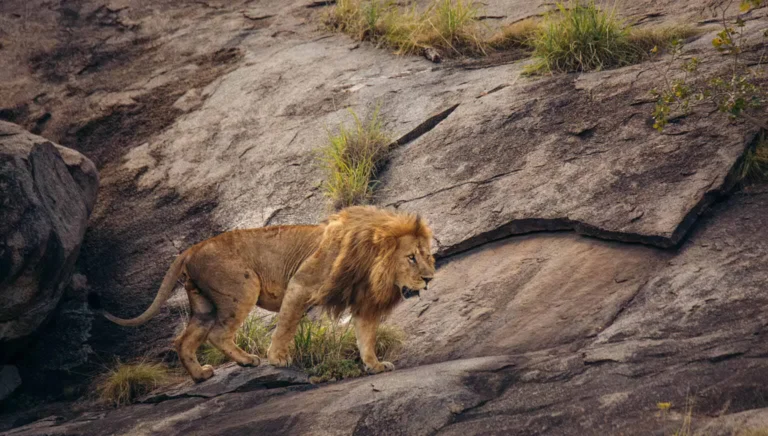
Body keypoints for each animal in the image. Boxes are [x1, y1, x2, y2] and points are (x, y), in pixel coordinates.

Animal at [98, 205, 436, 382]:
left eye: (427, 255)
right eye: (411, 258)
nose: (430, 278)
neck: (372, 263)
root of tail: (191, 249)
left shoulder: (364, 303)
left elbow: (366, 337)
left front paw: (375, 366)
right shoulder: (302, 284)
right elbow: (286, 325)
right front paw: (278, 359)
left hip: (204, 304)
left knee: (183, 340)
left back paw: (200, 375)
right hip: (244, 287)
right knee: (218, 334)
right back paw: (248, 361)